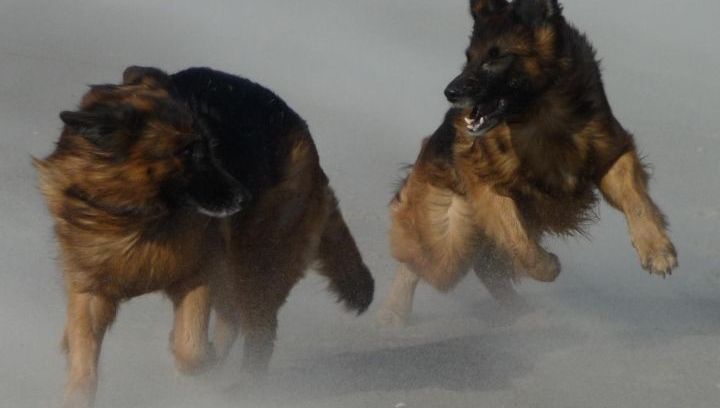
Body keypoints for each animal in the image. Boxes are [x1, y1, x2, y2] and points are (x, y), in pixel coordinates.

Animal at [35, 68, 372, 406]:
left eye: (210, 147)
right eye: (189, 152)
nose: (245, 197)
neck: (135, 217)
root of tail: (303, 134)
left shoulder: (199, 275)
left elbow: (190, 349)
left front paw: (197, 359)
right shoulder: (91, 292)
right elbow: (84, 360)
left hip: (254, 266)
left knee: (258, 330)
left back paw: (246, 388)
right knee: (233, 320)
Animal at [380, 0, 676, 326]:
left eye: (496, 57)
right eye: (469, 58)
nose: (450, 93)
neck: (540, 113)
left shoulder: (612, 154)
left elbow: (636, 201)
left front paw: (656, 248)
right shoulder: (488, 184)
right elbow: (518, 241)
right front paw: (547, 267)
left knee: (484, 268)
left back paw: (520, 311)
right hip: (452, 231)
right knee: (419, 260)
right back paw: (394, 309)